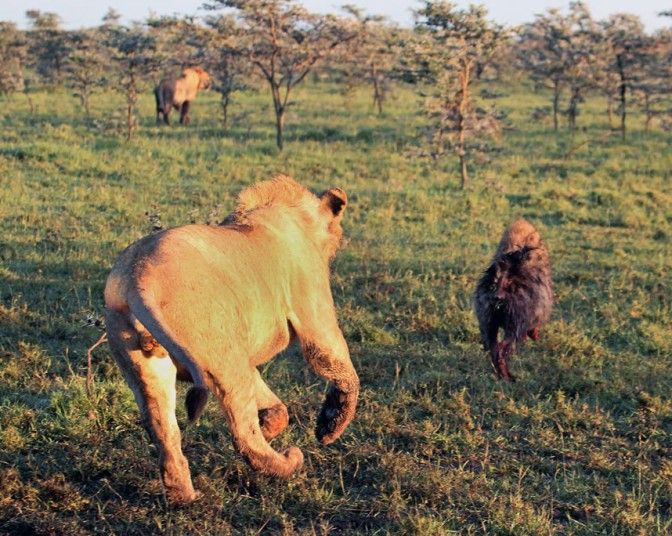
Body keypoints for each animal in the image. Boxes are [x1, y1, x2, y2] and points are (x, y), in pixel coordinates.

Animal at [103, 177, 360, 506]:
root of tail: (139, 278)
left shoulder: (238, 354)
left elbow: (267, 396)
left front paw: (271, 424)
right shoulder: (315, 316)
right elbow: (341, 368)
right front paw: (329, 426)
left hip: (152, 367)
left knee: (165, 434)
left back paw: (184, 498)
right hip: (222, 355)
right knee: (243, 435)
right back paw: (288, 461)